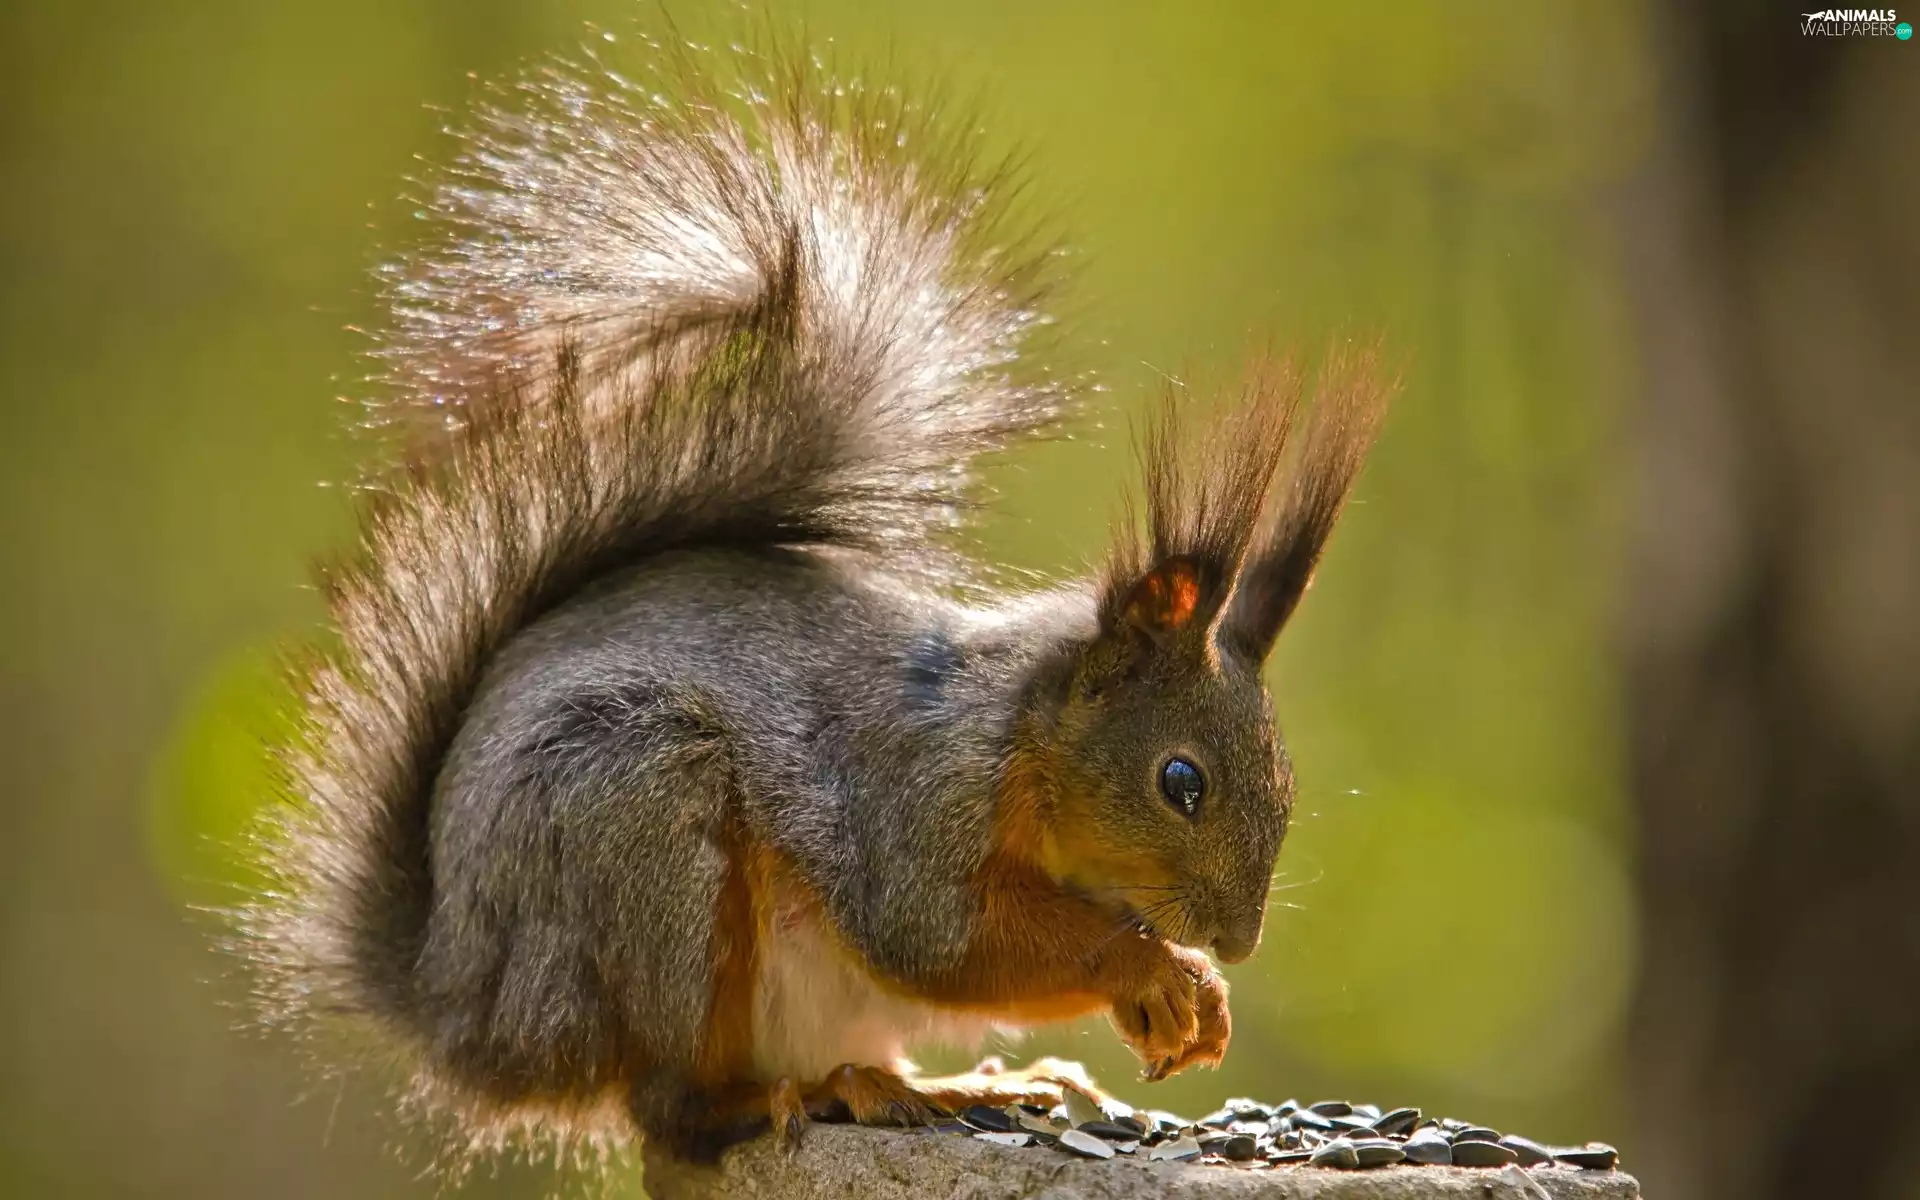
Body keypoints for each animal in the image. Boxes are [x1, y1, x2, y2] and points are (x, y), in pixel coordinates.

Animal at [238, 44, 1390, 1168]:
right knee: (672, 1107)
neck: (1021, 735)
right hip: (644, 838)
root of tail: (464, 1014)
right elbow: (937, 938)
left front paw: (1193, 990)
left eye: (1284, 781)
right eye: (1180, 782)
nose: (1237, 938)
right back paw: (793, 1094)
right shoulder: (908, 801)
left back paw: (948, 1083)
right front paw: (1159, 973)